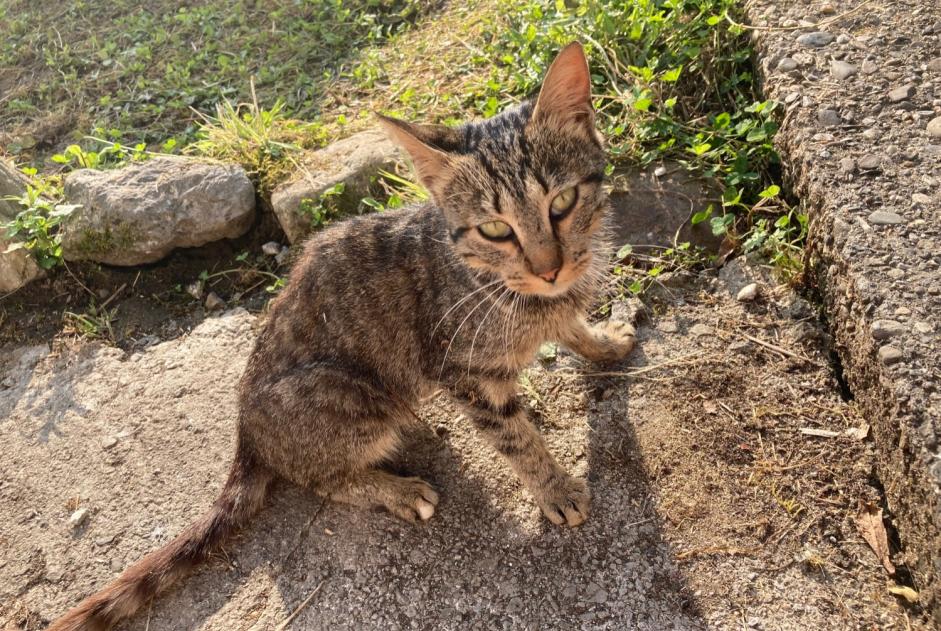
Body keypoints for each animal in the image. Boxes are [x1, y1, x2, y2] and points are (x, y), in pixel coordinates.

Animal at [51, 42, 640, 628]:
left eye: (562, 202)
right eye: (495, 229)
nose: (549, 269)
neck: (505, 287)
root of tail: (245, 430)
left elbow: (573, 327)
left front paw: (603, 342)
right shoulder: (465, 372)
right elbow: (518, 437)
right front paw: (554, 487)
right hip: (355, 395)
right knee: (323, 477)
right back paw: (396, 489)